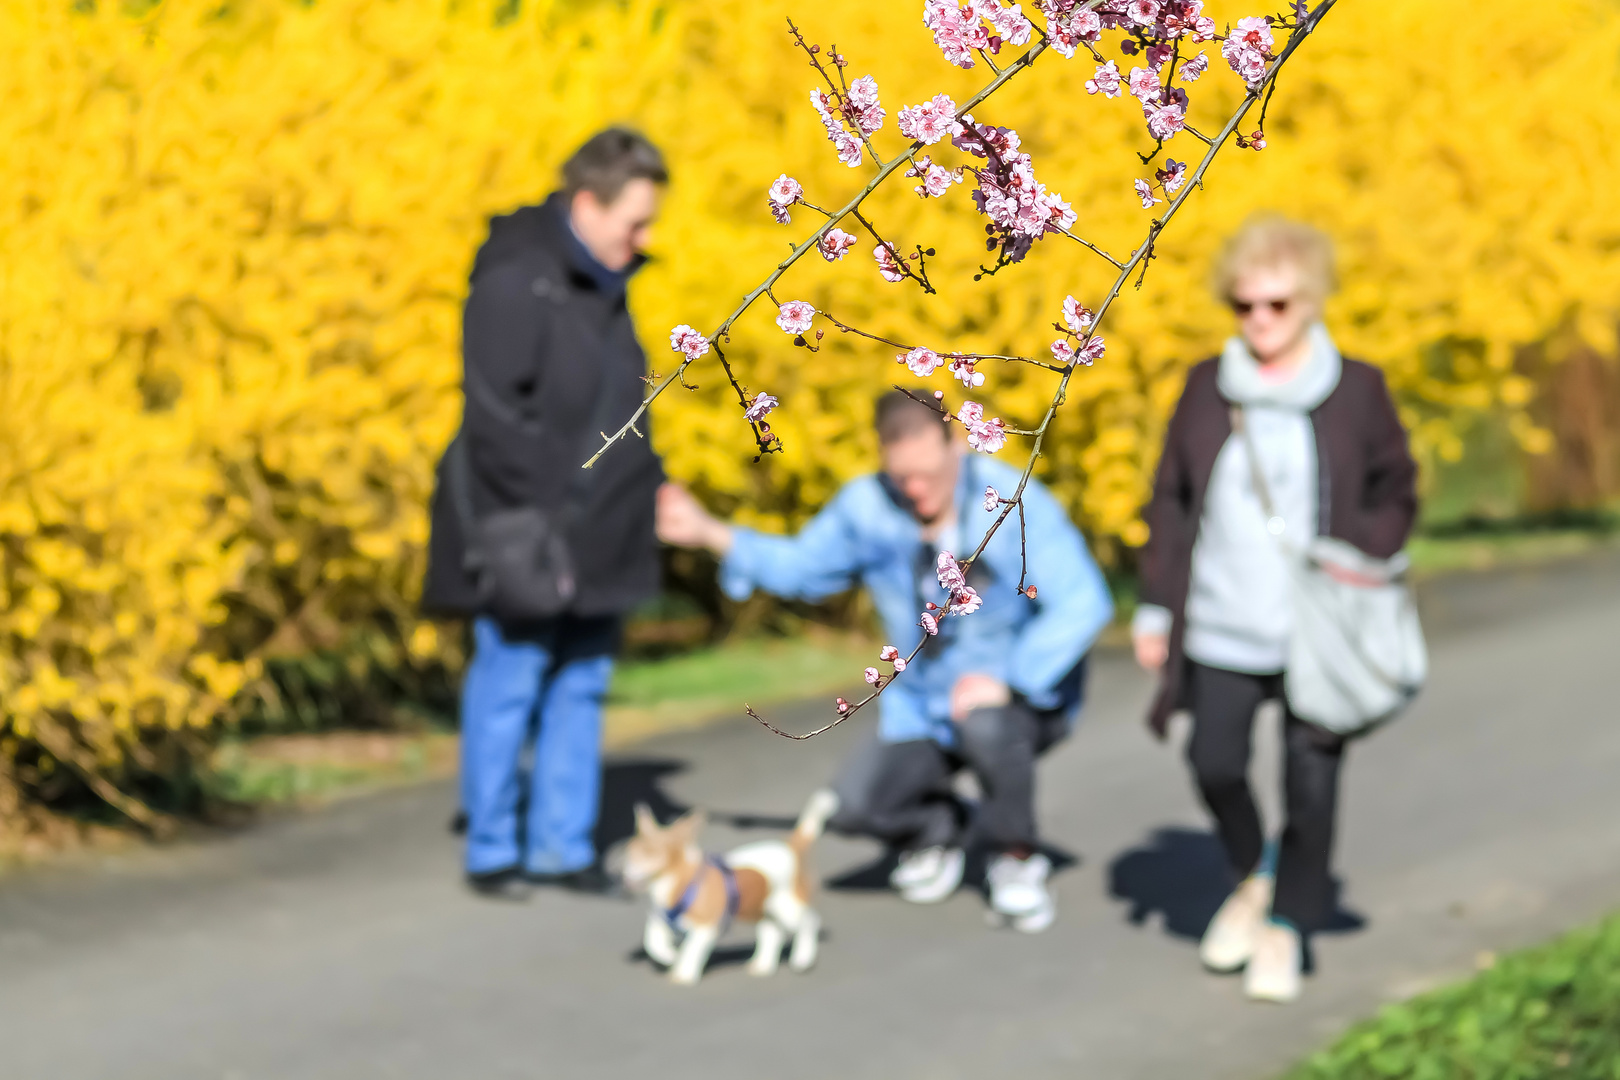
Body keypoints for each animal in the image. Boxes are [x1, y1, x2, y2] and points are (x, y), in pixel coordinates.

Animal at [622, 790, 842, 984]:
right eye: (630, 852)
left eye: (649, 852)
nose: (624, 872)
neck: (674, 880)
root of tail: (790, 846)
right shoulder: (659, 921)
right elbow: (653, 942)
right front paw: (670, 955)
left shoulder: (705, 929)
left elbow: (691, 950)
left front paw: (684, 974)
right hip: (762, 911)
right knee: (772, 933)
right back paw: (763, 965)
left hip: (787, 906)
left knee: (809, 922)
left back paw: (802, 957)